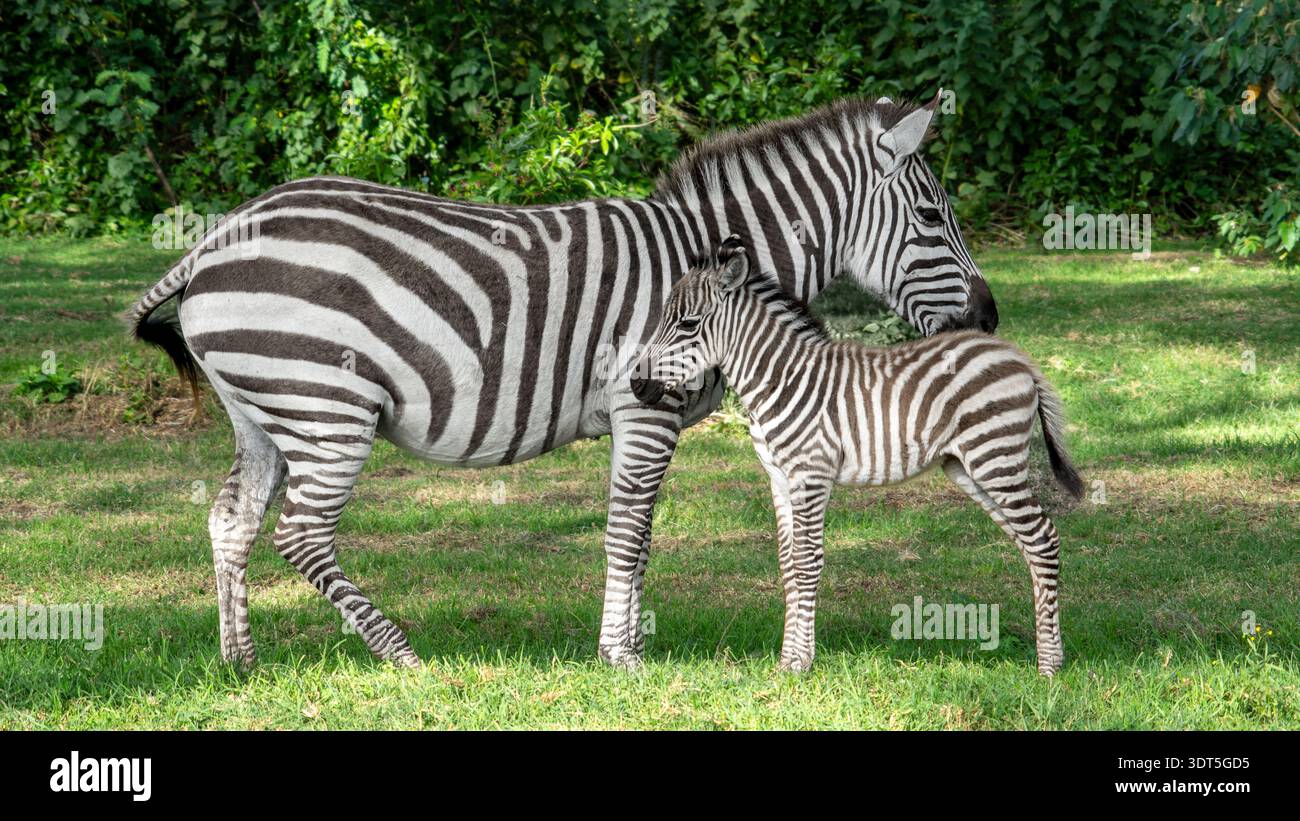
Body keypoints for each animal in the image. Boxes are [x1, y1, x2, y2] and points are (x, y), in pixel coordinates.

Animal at [128, 93, 1000, 669]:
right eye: (931, 216)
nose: (989, 317)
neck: (705, 268)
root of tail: (214, 240)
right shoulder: (645, 408)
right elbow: (628, 530)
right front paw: (622, 657)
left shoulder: (646, 415)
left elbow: (639, 536)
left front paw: (627, 642)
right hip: (327, 406)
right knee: (301, 535)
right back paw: (402, 654)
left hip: (266, 412)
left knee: (232, 520)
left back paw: (240, 659)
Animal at [629, 237, 1082, 675]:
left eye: (688, 324)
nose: (637, 386)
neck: (780, 378)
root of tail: (1018, 357)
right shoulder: (779, 478)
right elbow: (788, 565)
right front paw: (785, 662)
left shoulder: (811, 473)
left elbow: (807, 562)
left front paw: (799, 664)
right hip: (971, 468)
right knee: (1031, 544)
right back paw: (1049, 654)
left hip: (995, 459)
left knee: (1044, 539)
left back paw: (1048, 668)